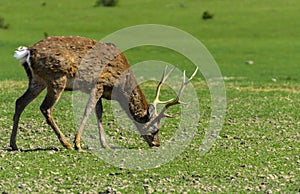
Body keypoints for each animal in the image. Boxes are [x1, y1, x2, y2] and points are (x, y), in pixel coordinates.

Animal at [10, 35, 198, 151]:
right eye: (155, 128)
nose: (157, 144)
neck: (120, 85)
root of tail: (28, 51)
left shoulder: (100, 91)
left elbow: (99, 113)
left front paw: (104, 144)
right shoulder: (99, 83)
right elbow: (88, 111)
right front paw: (78, 143)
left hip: (37, 81)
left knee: (20, 101)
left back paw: (14, 144)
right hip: (57, 78)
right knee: (45, 108)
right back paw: (66, 144)